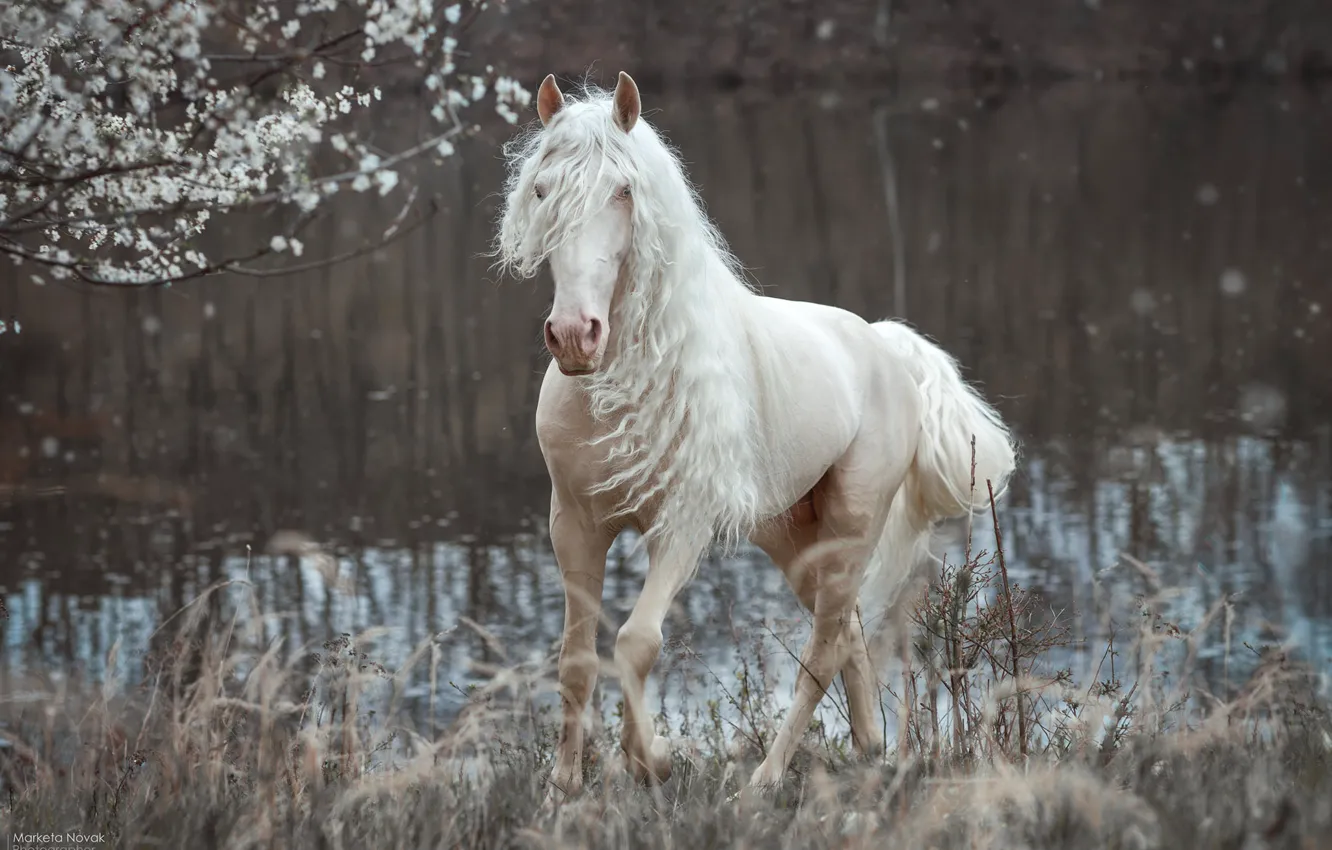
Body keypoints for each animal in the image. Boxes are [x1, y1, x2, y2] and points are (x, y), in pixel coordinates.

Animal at [493, 71, 1017, 801]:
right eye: (542, 191)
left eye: (623, 192)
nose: (574, 336)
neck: (626, 385)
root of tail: (885, 347)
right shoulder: (575, 524)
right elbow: (576, 658)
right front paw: (565, 786)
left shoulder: (680, 527)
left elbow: (636, 642)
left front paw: (650, 762)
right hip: (793, 537)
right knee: (847, 634)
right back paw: (868, 751)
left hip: (851, 526)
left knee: (822, 649)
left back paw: (765, 782)